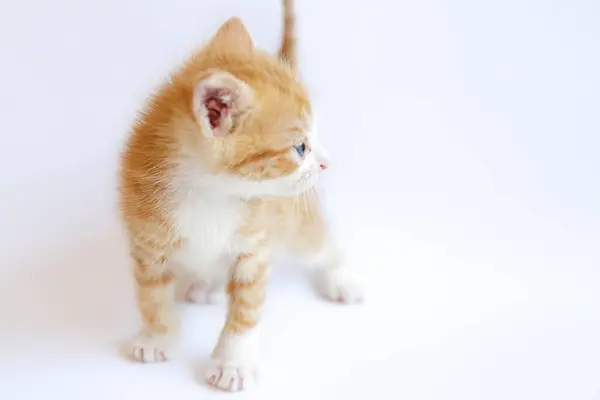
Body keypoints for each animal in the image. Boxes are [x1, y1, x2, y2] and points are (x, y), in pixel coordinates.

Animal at [117, 0, 360, 394]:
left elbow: (245, 310)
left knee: (321, 246)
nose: (325, 162)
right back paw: (207, 284)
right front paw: (156, 337)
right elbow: (151, 296)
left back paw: (341, 277)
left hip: (299, 221)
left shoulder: (256, 249)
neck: (212, 192)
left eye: (314, 138)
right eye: (300, 147)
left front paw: (232, 364)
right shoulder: (146, 241)